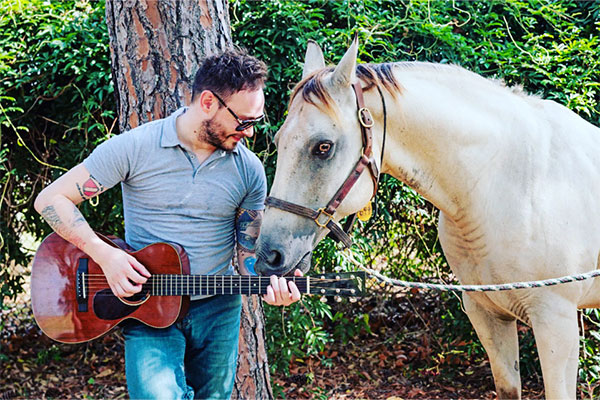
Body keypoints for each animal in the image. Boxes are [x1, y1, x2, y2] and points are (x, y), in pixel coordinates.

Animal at [253, 36, 600, 398]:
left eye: (323, 146)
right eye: (278, 141)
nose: (269, 256)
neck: (508, 181)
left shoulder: (556, 322)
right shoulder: (487, 314)